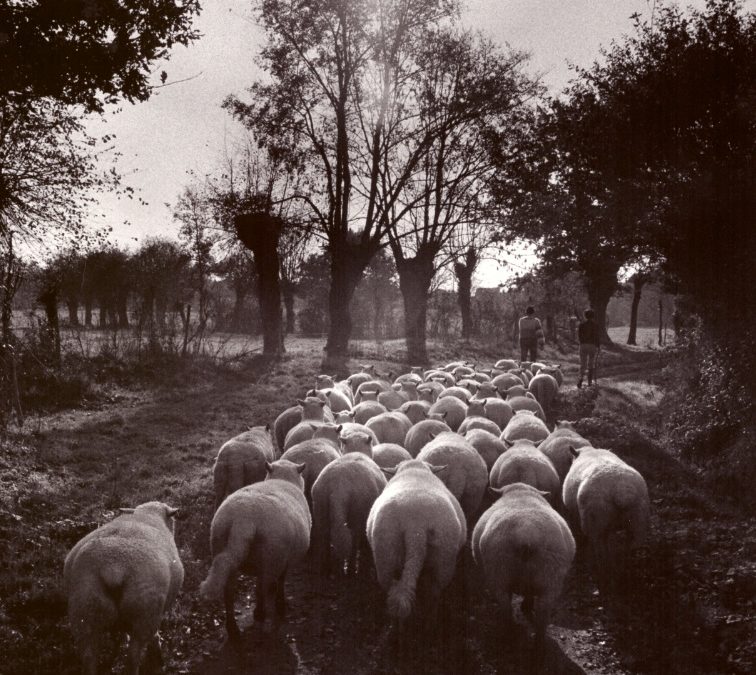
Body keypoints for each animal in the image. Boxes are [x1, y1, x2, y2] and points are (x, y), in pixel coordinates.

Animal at [63, 502, 185, 675]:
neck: (147, 515)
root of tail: (113, 568)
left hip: (85, 609)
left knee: (88, 657)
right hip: (144, 610)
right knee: (133, 658)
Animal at [366, 460, 466, 624]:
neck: (414, 469)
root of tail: (415, 526)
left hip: (386, 555)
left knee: (393, 590)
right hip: (444, 561)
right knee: (433, 595)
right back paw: (430, 622)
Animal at [476, 484, 576, 648]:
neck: (521, 493)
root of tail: (526, 537)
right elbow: (529, 593)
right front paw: (526, 606)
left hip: (499, 572)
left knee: (506, 606)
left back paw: (509, 633)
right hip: (550, 577)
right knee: (543, 611)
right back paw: (539, 643)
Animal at [560, 446, 648, 580]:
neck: (590, 452)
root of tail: (622, 492)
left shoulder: (574, 514)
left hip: (595, 521)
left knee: (599, 548)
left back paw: (602, 571)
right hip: (637, 522)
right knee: (631, 547)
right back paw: (624, 568)